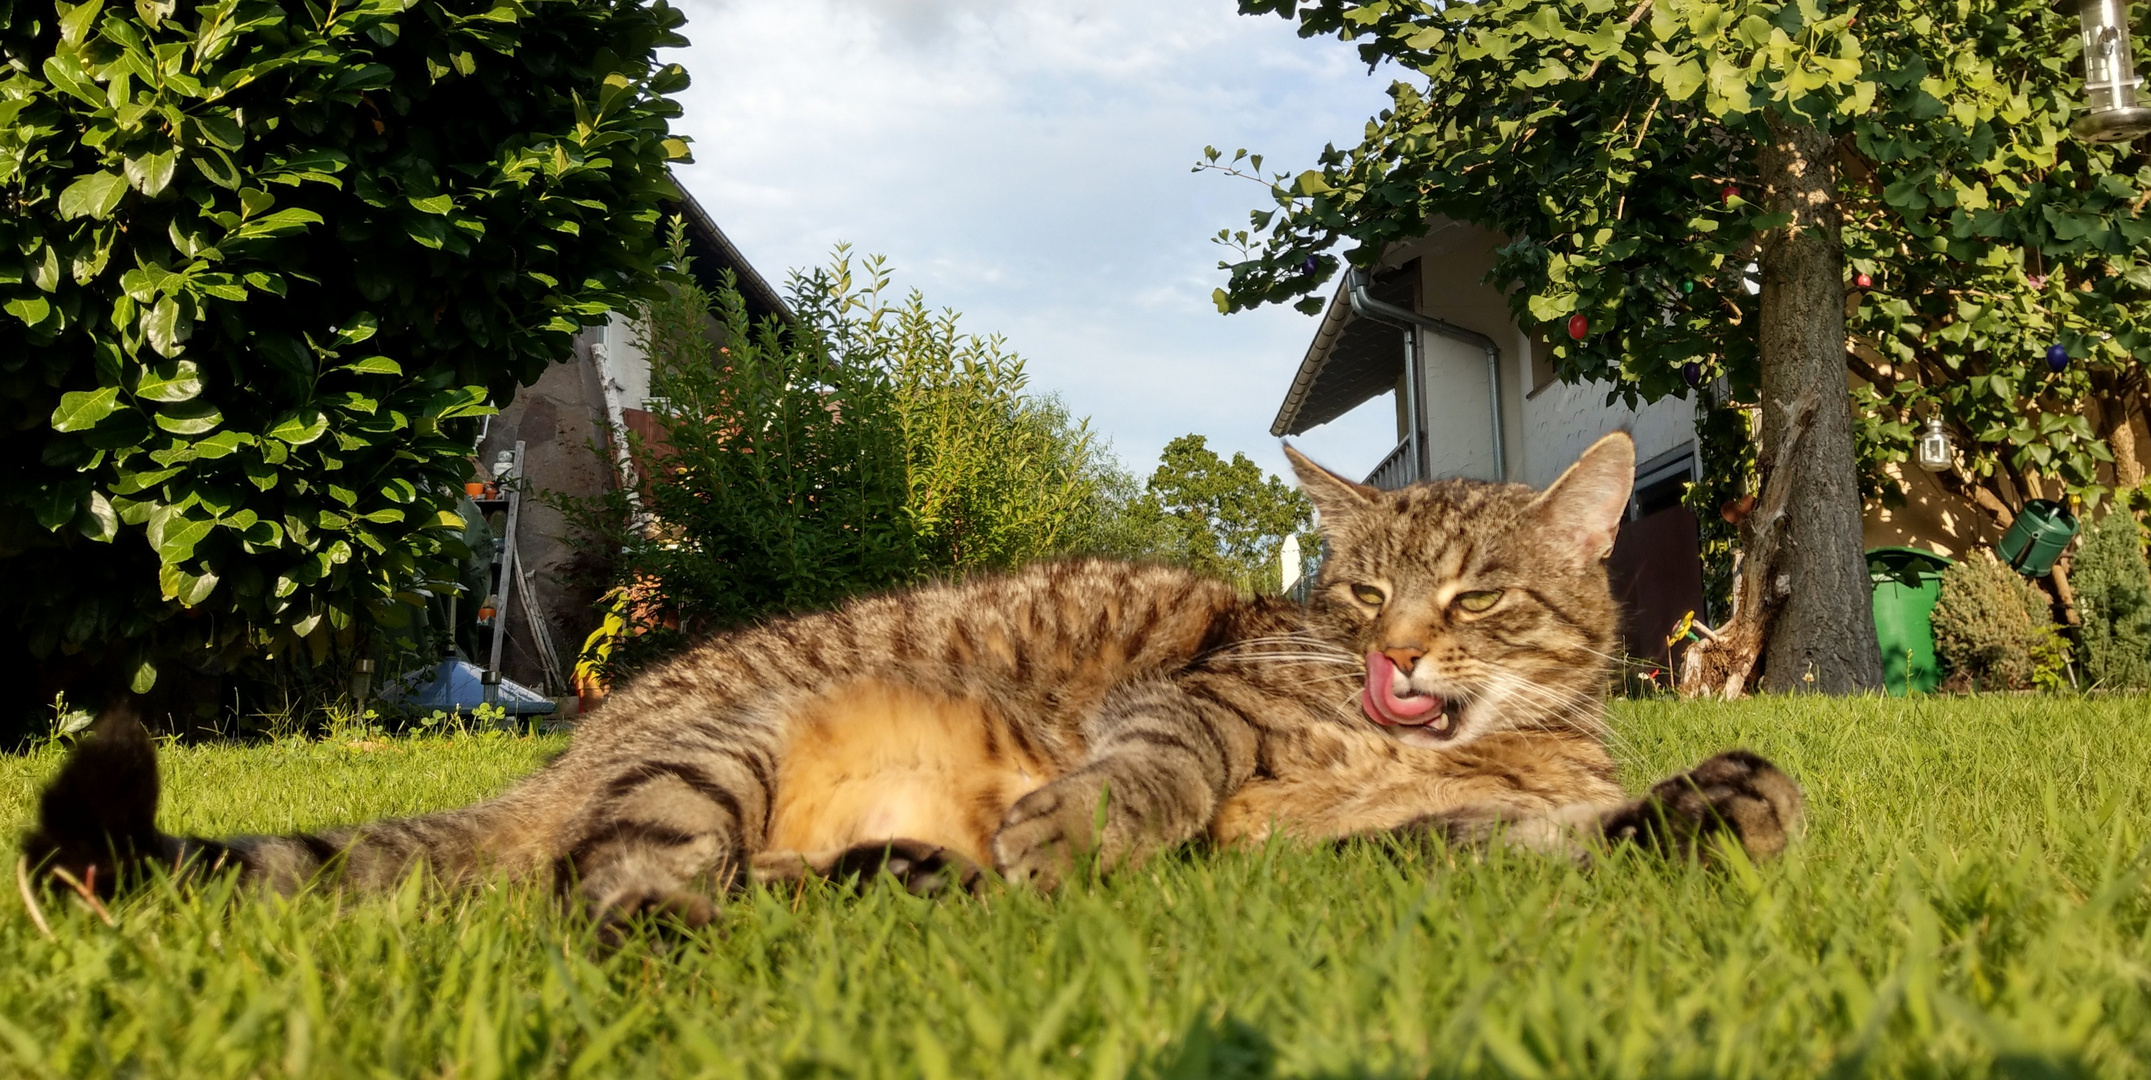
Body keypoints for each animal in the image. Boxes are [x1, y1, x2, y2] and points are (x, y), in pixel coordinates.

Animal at [25, 430, 1806, 929]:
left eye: (1475, 595)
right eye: (1362, 588)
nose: (1389, 653)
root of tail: (574, 743)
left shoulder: (1389, 847)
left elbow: (1555, 835)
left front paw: (1722, 806)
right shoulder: (1194, 715)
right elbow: (1157, 771)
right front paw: (1081, 831)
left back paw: (893, 886)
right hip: (708, 765)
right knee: (611, 895)